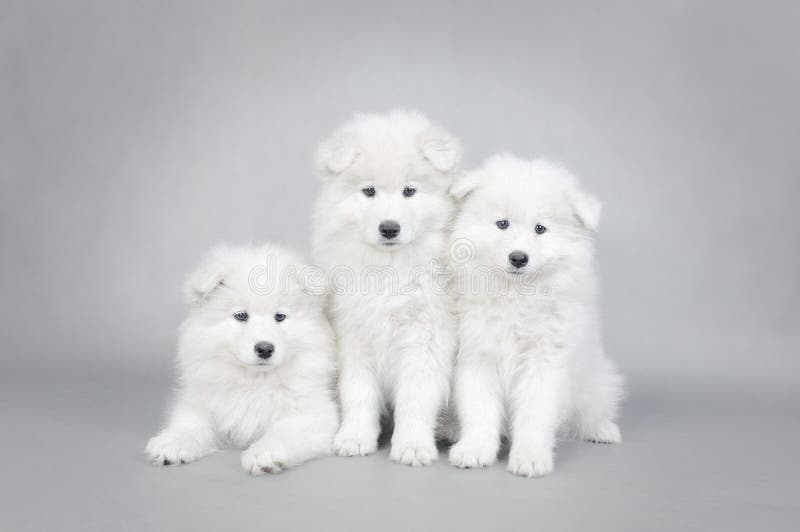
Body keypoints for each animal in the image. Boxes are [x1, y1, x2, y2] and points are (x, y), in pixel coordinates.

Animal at [144, 244, 338, 474]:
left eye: (279, 317)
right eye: (241, 316)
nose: (265, 348)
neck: (254, 381)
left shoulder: (315, 412)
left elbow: (283, 432)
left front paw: (263, 453)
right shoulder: (205, 402)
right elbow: (190, 424)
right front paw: (172, 443)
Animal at [314, 109, 462, 466]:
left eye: (409, 191)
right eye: (369, 191)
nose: (389, 228)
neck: (390, 270)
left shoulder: (425, 339)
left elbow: (416, 398)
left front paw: (412, 445)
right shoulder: (355, 336)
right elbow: (358, 393)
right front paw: (354, 438)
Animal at [446, 154, 620, 478]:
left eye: (540, 229)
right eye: (502, 224)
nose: (518, 257)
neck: (516, 296)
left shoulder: (544, 360)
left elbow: (534, 415)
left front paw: (529, 457)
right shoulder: (477, 356)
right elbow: (479, 410)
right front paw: (474, 449)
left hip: (594, 377)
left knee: (591, 408)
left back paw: (601, 429)